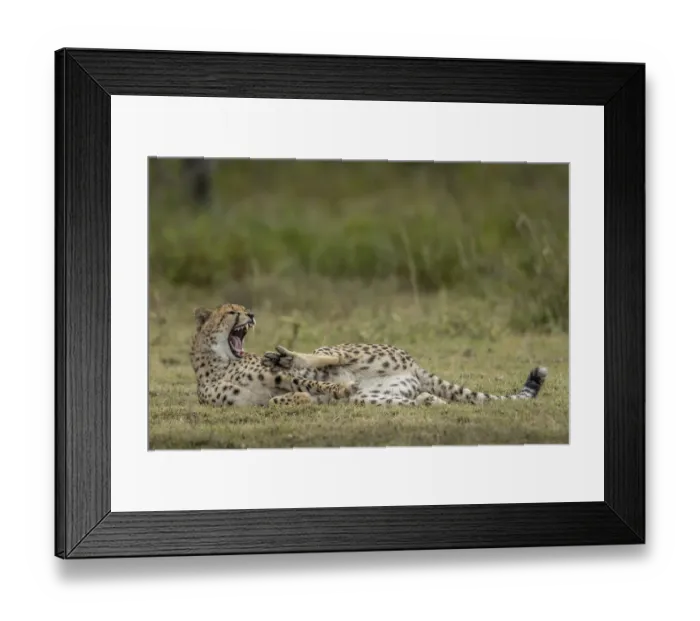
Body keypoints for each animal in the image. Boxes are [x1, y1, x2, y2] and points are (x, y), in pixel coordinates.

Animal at [191, 303, 548, 408]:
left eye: (240, 309)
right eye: (231, 311)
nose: (251, 314)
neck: (220, 363)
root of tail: (414, 365)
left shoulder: (278, 378)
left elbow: (310, 384)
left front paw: (320, 389)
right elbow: (277, 400)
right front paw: (298, 399)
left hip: (345, 352)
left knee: (327, 358)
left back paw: (289, 357)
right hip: (376, 397)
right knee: (420, 402)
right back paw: (429, 402)